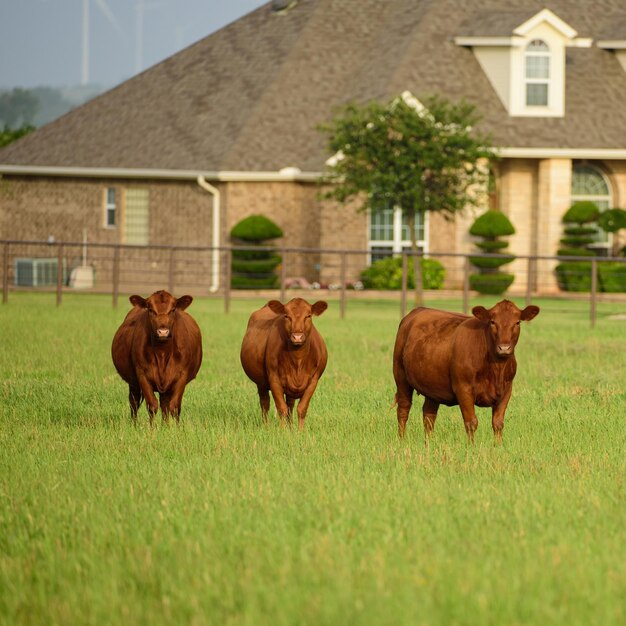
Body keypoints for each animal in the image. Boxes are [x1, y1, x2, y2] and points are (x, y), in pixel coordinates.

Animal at [111, 290, 201, 422]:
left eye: (173, 309)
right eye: (150, 310)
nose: (163, 332)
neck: (162, 353)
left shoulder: (182, 375)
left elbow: (175, 407)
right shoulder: (142, 374)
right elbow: (152, 406)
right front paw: (152, 428)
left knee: (165, 405)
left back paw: (165, 425)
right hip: (133, 382)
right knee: (134, 402)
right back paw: (134, 424)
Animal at [239, 298, 326, 428]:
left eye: (308, 316)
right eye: (286, 316)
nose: (297, 337)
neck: (298, 360)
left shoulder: (313, 381)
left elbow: (302, 409)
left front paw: (300, 431)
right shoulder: (274, 378)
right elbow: (281, 409)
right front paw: (282, 430)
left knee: (290, 404)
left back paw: (290, 427)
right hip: (261, 383)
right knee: (265, 403)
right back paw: (266, 426)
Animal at [392, 298, 540, 438]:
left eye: (517, 322)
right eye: (492, 322)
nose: (504, 348)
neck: (496, 368)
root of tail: (417, 311)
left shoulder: (506, 391)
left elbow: (498, 424)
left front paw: (498, 445)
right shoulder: (463, 389)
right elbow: (471, 423)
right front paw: (471, 446)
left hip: (432, 385)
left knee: (429, 415)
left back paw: (429, 443)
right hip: (400, 375)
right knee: (403, 408)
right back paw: (401, 440)